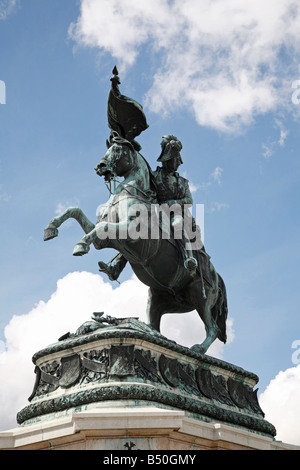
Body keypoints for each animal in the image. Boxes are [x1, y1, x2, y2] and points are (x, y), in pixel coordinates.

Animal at [44, 136, 227, 352]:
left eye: (118, 150)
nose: (100, 166)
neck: (129, 194)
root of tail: (217, 277)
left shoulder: (131, 234)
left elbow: (101, 226)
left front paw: (80, 245)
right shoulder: (106, 239)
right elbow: (75, 211)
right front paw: (51, 228)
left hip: (200, 296)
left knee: (212, 327)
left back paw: (198, 348)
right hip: (160, 299)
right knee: (154, 325)